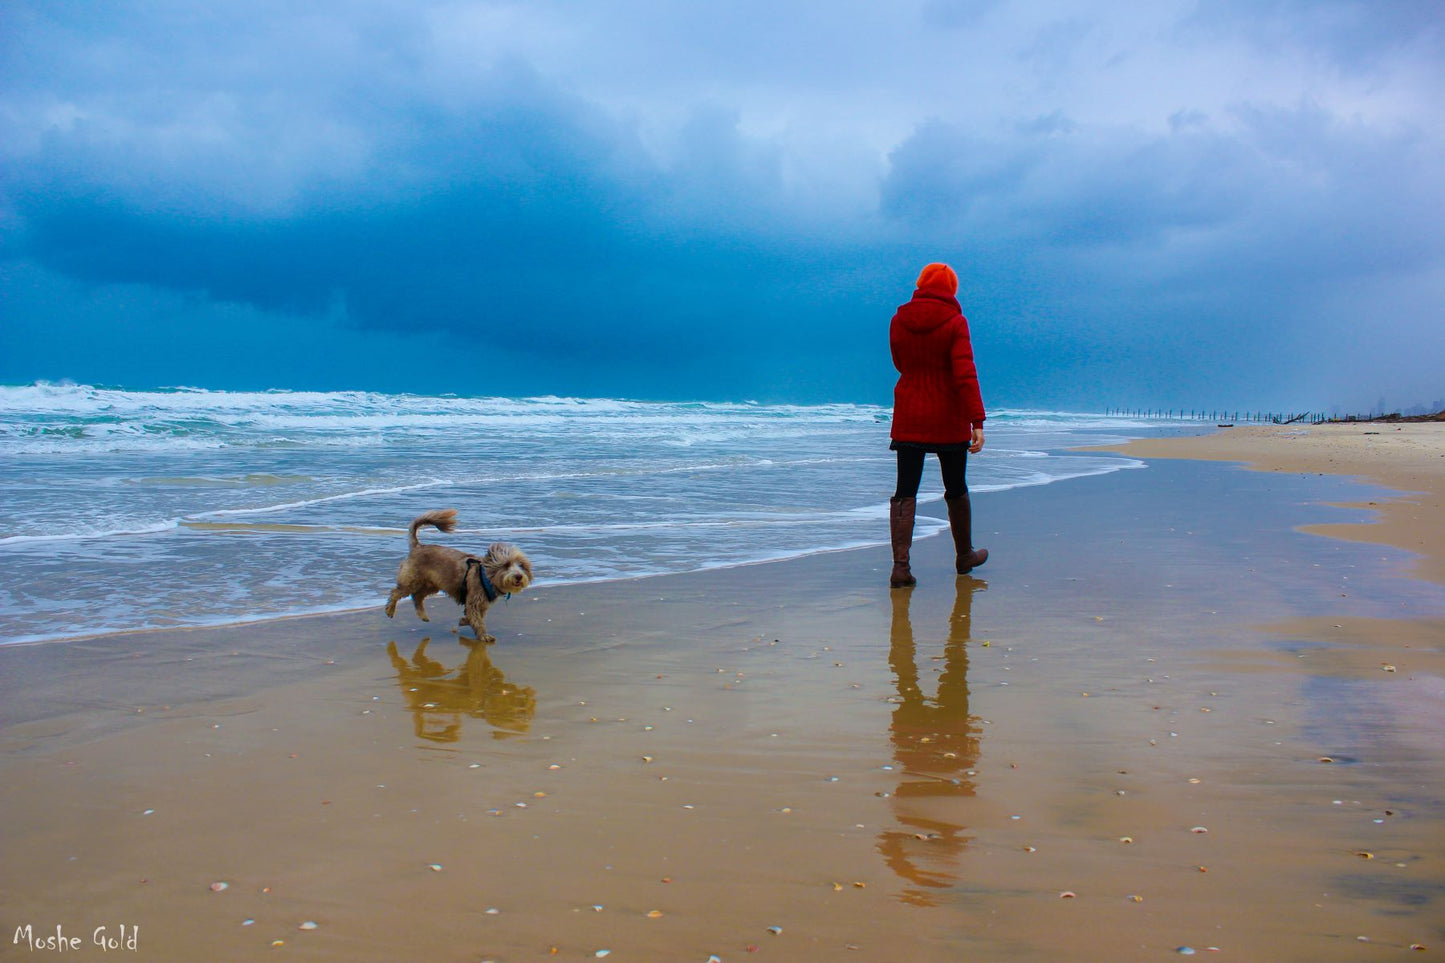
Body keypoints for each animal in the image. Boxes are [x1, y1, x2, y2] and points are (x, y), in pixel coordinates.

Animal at [387, 506, 534, 642]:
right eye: (506, 565)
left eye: (522, 566)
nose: (519, 576)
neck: (486, 576)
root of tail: (417, 546)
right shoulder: (474, 601)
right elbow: (477, 620)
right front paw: (483, 635)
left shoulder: (481, 604)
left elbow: (474, 617)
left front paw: (464, 621)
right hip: (412, 581)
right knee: (396, 592)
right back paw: (390, 610)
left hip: (432, 584)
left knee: (417, 596)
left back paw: (423, 615)